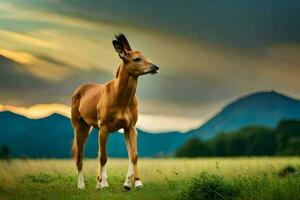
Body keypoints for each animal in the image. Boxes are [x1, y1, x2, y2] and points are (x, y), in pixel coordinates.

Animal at [70, 34, 159, 191]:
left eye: (144, 55)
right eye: (137, 58)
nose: (155, 67)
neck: (121, 100)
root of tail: (78, 90)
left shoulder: (130, 127)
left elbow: (133, 155)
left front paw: (134, 183)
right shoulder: (104, 126)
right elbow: (104, 157)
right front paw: (104, 184)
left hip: (92, 127)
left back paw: (99, 182)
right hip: (80, 126)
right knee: (80, 157)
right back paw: (83, 185)